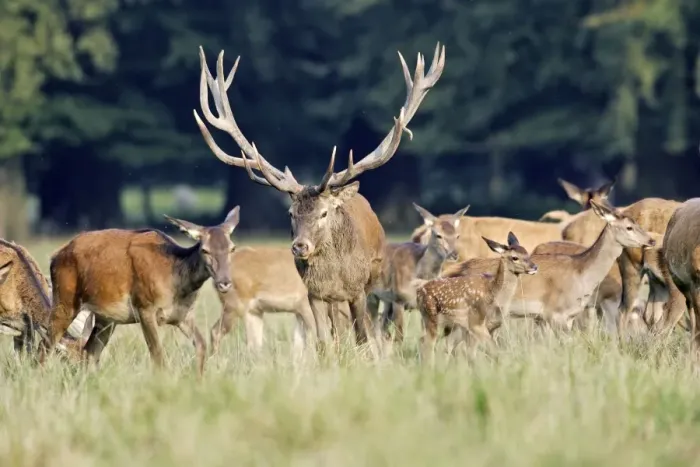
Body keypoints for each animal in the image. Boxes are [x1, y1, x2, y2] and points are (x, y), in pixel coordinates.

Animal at [40, 207, 241, 375]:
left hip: (106, 318)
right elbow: (158, 356)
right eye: (205, 250)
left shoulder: (183, 315)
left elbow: (201, 346)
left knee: (89, 352)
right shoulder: (145, 307)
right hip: (65, 300)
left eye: (232, 248)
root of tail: (55, 256)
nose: (224, 282)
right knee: (46, 344)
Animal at [192, 43, 445, 353]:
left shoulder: (357, 291)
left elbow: (362, 337)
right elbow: (323, 341)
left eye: (324, 213)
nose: (300, 246)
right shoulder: (313, 294)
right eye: (290, 213)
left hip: (370, 286)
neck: (334, 275)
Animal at [368, 203, 467, 346]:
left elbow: (427, 337)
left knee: (381, 328)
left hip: (387, 302)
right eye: (438, 235)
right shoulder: (398, 299)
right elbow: (400, 336)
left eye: (457, 235)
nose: (454, 254)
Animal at [416, 232, 537, 361]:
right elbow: (486, 351)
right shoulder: (475, 321)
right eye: (515, 257)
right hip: (431, 315)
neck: (493, 291)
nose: (534, 267)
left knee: (427, 340)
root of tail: (419, 292)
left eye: (526, 253)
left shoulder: (487, 326)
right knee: (429, 343)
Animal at [443, 201, 656, 330]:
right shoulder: (555, 314)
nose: (652, 240)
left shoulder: (566, 317)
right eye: (629, 227)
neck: (581, 275)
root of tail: (451, 272)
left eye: (637, 222)